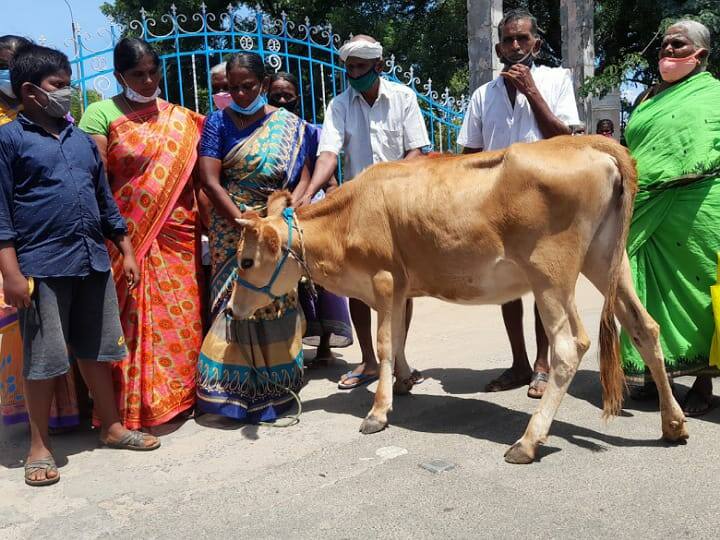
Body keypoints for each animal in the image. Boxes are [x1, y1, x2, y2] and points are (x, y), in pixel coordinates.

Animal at [228, 135, 689, 464]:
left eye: (246, 261)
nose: (232, 309)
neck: (348, 219)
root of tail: (589, 142)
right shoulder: (402, 285)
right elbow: (400, 337)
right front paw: (405, 380)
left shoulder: (383, 279)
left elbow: (385, 342)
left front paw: (378, 412)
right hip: (609, 261)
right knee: (645, 327)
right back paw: (673, 424)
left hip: (551, 274)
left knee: (569, 345)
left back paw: (528, 442)